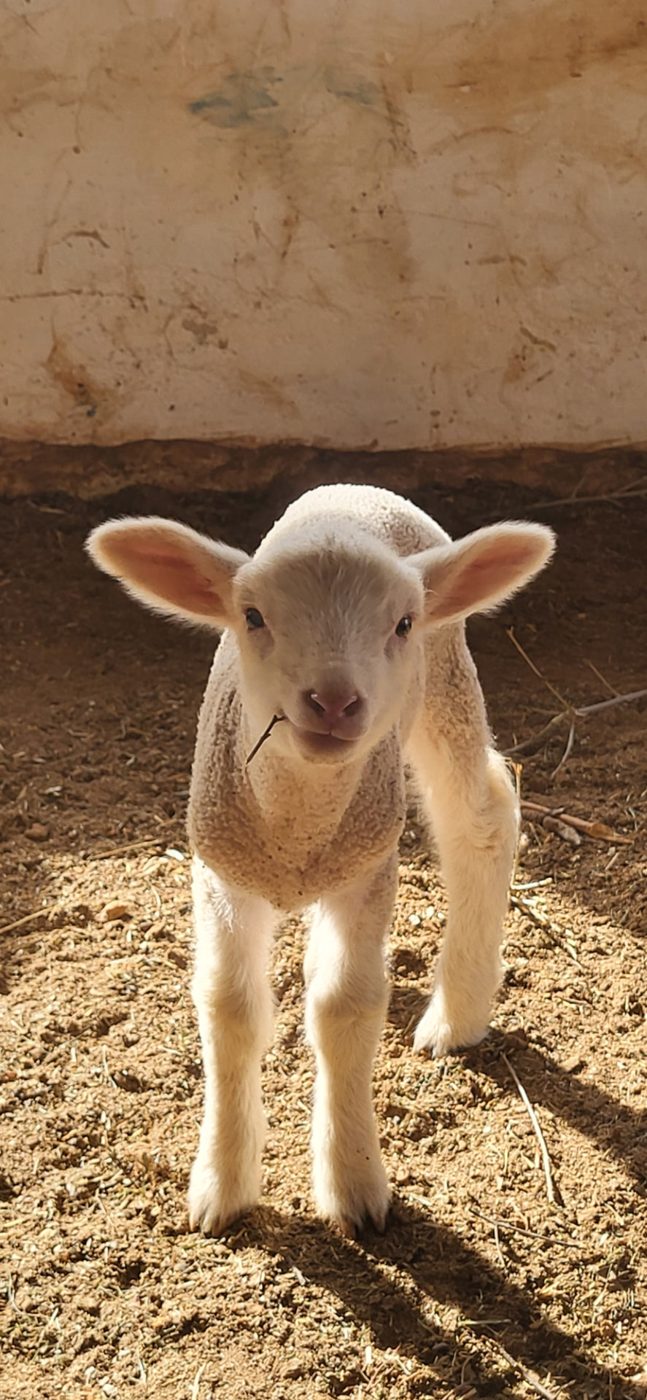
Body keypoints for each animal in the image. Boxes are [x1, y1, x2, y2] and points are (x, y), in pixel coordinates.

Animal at [87, 483, 555, 1237]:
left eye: (401, 622)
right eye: (252, 616)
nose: (334, 701)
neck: (296, 826)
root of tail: (351, 491)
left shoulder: (367, 872)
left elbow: (345, 1007)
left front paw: (354, 1183)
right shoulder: (222, 872)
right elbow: (229, 1007)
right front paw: (222, 1185)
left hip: (444, 677)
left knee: (482, 815)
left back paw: (457, 1013)